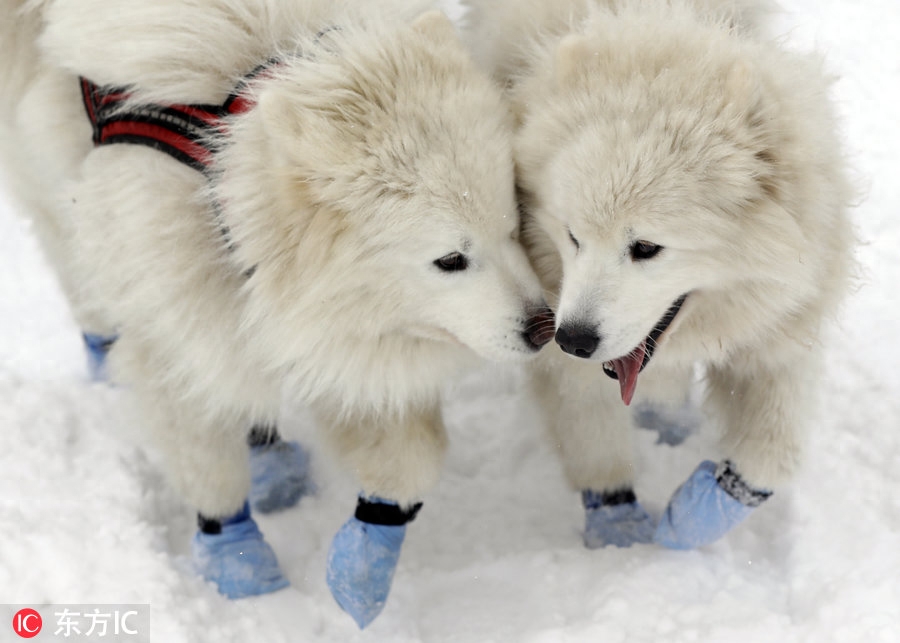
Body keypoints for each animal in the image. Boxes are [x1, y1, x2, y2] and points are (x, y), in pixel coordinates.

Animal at [0, 0, 552, 628]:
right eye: (451, 259)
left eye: (513, 223)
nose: (545, 327)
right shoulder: (171, 312)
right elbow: (205, 456)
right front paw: (238, 562)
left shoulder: (330, 334)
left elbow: (410, 457)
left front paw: (364, 562)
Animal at [468, 0, 856, 552]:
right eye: (572, 236)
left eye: (646, 248)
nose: (574, 339)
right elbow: (593, 438)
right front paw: (619, 525)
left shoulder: (780, 325)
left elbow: (771, 454)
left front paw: (693, 517)